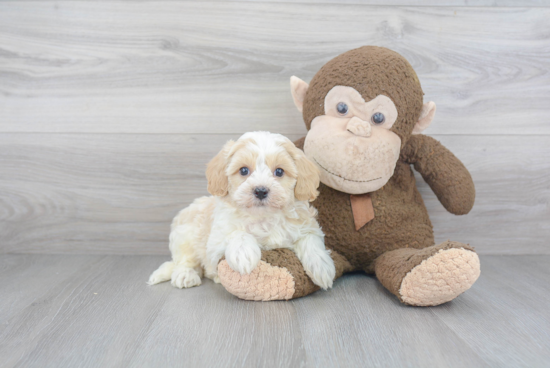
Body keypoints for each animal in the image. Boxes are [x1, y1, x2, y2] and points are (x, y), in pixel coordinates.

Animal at [148, 132, 336, 290]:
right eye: (244, 170)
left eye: (279, 171)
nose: (261, 190)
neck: (263, 218)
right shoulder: (216, 242)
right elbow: (237, 233)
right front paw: (244, 255)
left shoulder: (307, 226)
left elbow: (311, 240)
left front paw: (322, 267)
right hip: (184, 236)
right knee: (184, 261)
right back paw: (186, 275)